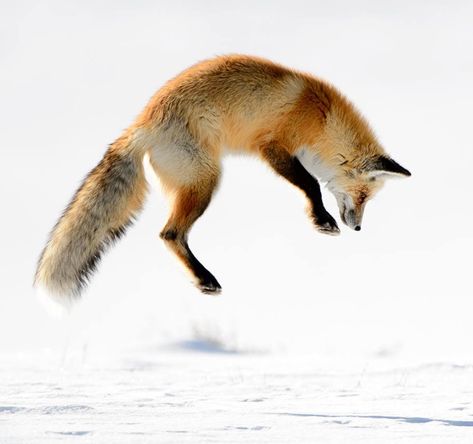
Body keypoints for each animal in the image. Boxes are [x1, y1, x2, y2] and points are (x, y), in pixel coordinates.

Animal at [34, 53, 410, 302]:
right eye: (362, 196)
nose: (358, 228)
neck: (320, 117)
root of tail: (142, 124)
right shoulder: (272, 146)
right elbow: (310, 183)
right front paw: (322, 220)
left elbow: (311, 182)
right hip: (205, 181)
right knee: (170, 234)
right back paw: (205, 279)